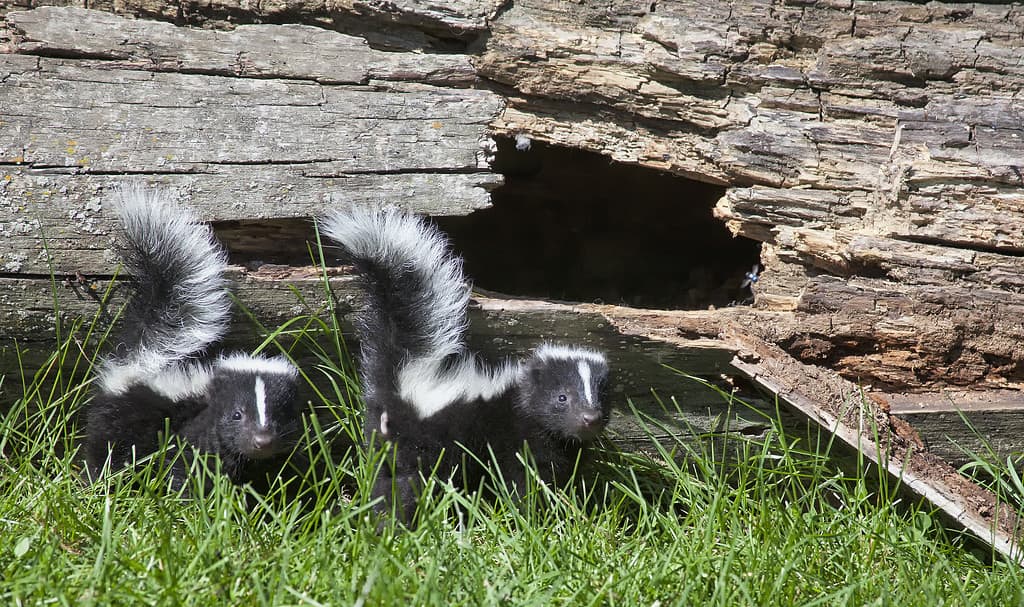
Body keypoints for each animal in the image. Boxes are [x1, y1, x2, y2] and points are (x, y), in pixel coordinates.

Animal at [84, 187, 301, 489]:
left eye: (281, 414)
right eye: (236, 414)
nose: (262, 441)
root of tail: (145, 355)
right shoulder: (192, 431)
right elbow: (186, 467)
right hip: (122, 417)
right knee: (107, 452)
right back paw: (99, 483)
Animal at [319, 205, 606, 517]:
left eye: (601, 397)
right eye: (561, 397)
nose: (590, 418)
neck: (520, 398)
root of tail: (404, 376)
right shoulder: (517, 435)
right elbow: (523, 478)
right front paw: (530, 511)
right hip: (417, 442)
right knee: (407, 482)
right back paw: (394, 517)